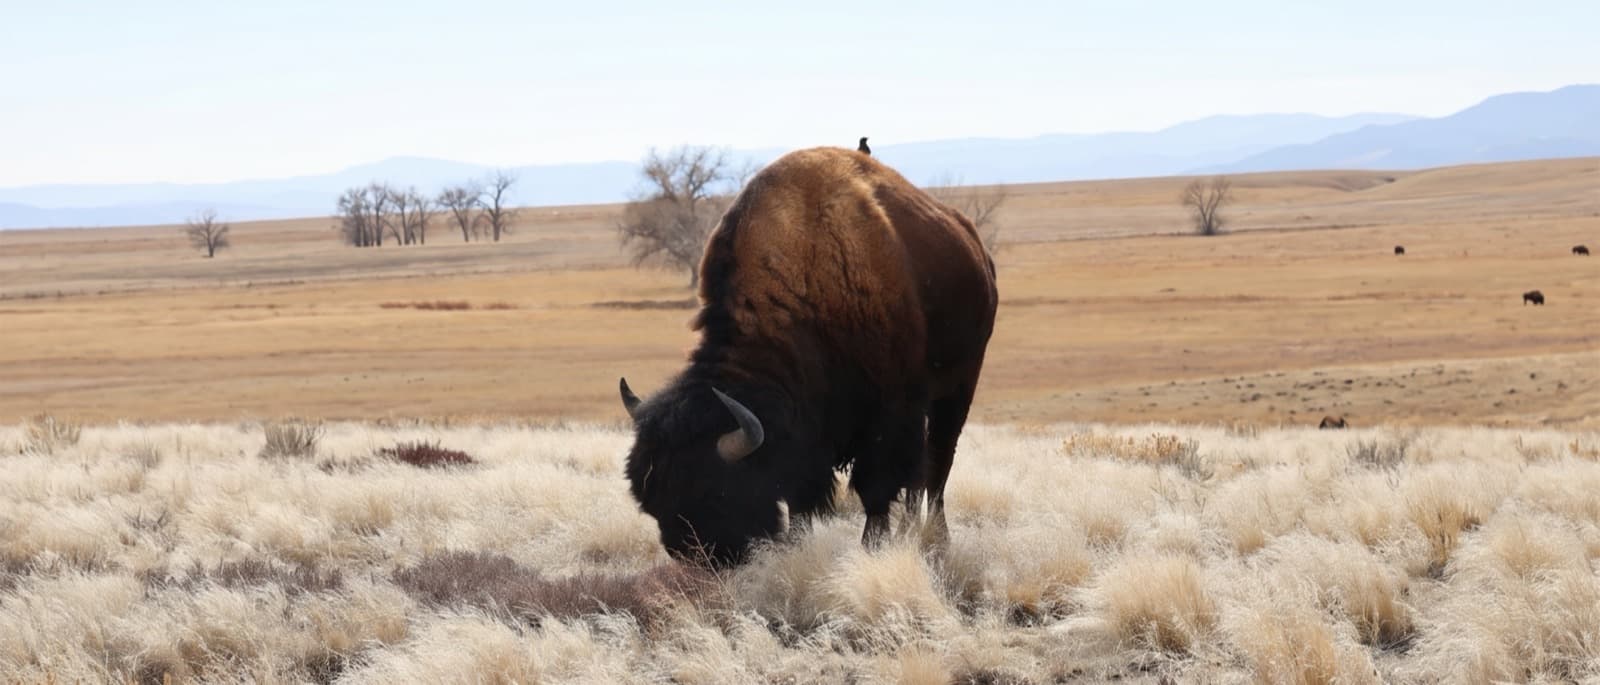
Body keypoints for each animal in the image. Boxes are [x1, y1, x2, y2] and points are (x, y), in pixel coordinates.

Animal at [618, 147, 998, 566]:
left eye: (714, 491)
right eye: (649, 500)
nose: (695, 555)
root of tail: (975, 248)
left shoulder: (889, 414)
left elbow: (877, 489)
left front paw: (871, 548)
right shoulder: (807, 436)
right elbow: (801, 500)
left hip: (958, 387)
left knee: (938, 464)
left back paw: (935, 539)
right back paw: (910, 532)